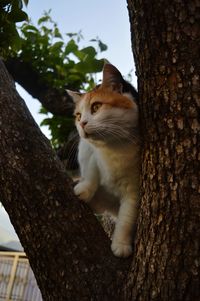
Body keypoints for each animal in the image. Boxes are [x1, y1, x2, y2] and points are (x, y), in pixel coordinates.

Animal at [68, 62, 140, 255]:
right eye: (78, 115)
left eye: (96, 107)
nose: (82, 123)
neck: (115, 148)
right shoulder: (89, 150)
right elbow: (92, 170)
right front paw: (83, 190)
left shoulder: (134, 192)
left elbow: (127, 219)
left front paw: (121, 244)